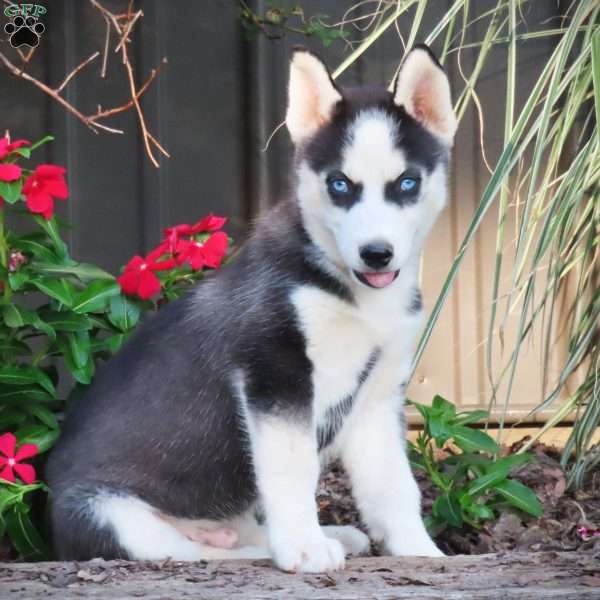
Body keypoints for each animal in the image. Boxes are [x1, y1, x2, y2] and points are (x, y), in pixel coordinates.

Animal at [47, 43, 458, 572]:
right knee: (193, 553)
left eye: (406, 183)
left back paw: (331, 535)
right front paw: (304, 548)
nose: (376, 254)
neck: (353, 294)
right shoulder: (274, 373)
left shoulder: (376, 395)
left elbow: (394, 487)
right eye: (339, 185)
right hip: (113, 517)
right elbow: (293, 470)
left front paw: (419, 551)